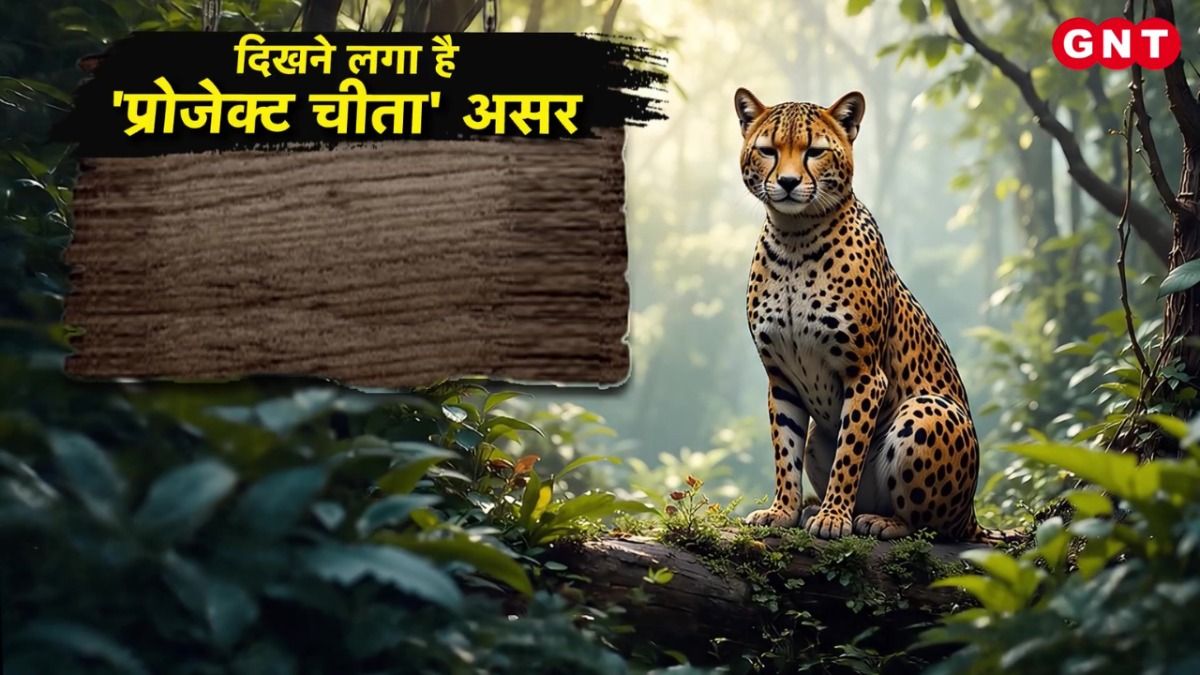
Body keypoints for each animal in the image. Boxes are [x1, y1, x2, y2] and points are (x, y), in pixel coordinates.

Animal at [734, 87, 1016, 543]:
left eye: (814, 152)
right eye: (768, 150)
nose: (789, 183)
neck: (795, 237)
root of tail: (972, 512)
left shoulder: (865, 373)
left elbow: (849, 453)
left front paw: (834, 516)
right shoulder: (781, 378)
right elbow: (784, 451)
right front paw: (783, 509)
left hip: (929, 409)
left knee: (931, 527)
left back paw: (878, 520)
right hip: (819, 434)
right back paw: (812, 508)